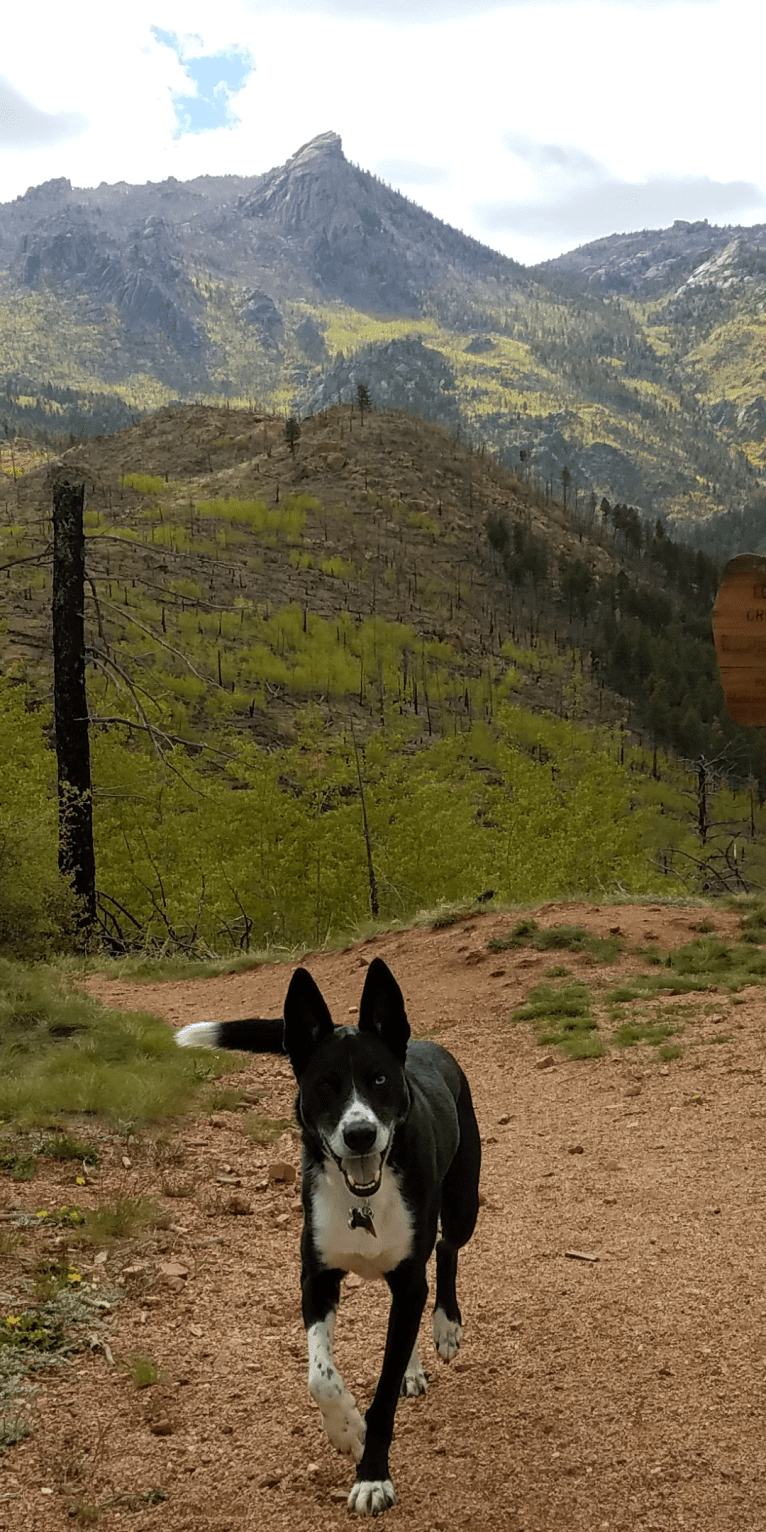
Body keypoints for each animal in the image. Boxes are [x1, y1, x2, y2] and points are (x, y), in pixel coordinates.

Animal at [176, 962, 481, 1513]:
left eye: (379, 1079)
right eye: (324, 1085)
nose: (360, 1134)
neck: (363, 1197)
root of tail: (424, 1045)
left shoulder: (408, 1275)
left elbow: (382, 1393)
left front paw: (373, 1476)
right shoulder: (317, 1277)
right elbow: (320, 1376)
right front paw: (345, 1429)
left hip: (462, 1202)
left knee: (447, 1250)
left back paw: (446, 1326)